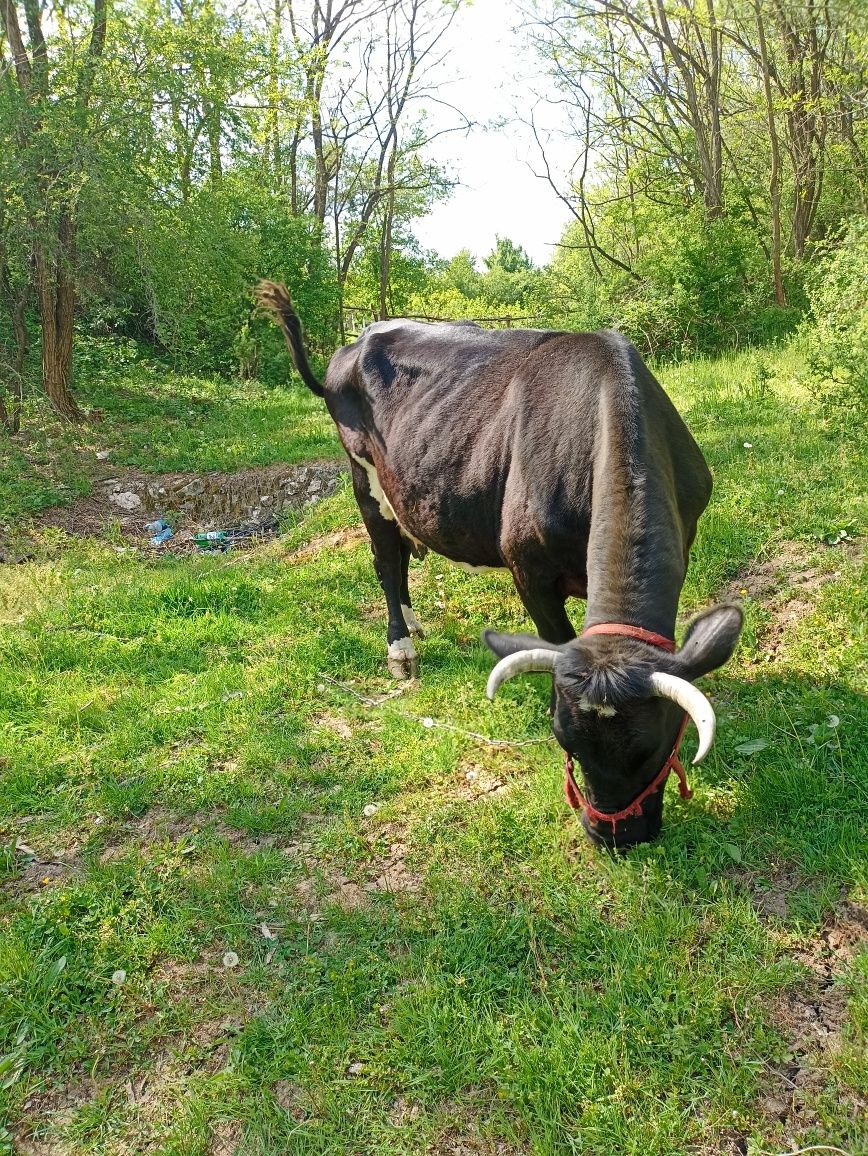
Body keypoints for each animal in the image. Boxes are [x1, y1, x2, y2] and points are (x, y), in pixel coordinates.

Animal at [256, 284, 739, 850]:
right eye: (566, 742)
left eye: (655, 746)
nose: (612, 837)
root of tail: (355, 342)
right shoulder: (527, 568)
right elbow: (553, 639)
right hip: (363, 478)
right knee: (385, 560)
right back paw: (402, 648)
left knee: (403, 553)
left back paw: (416, 624)